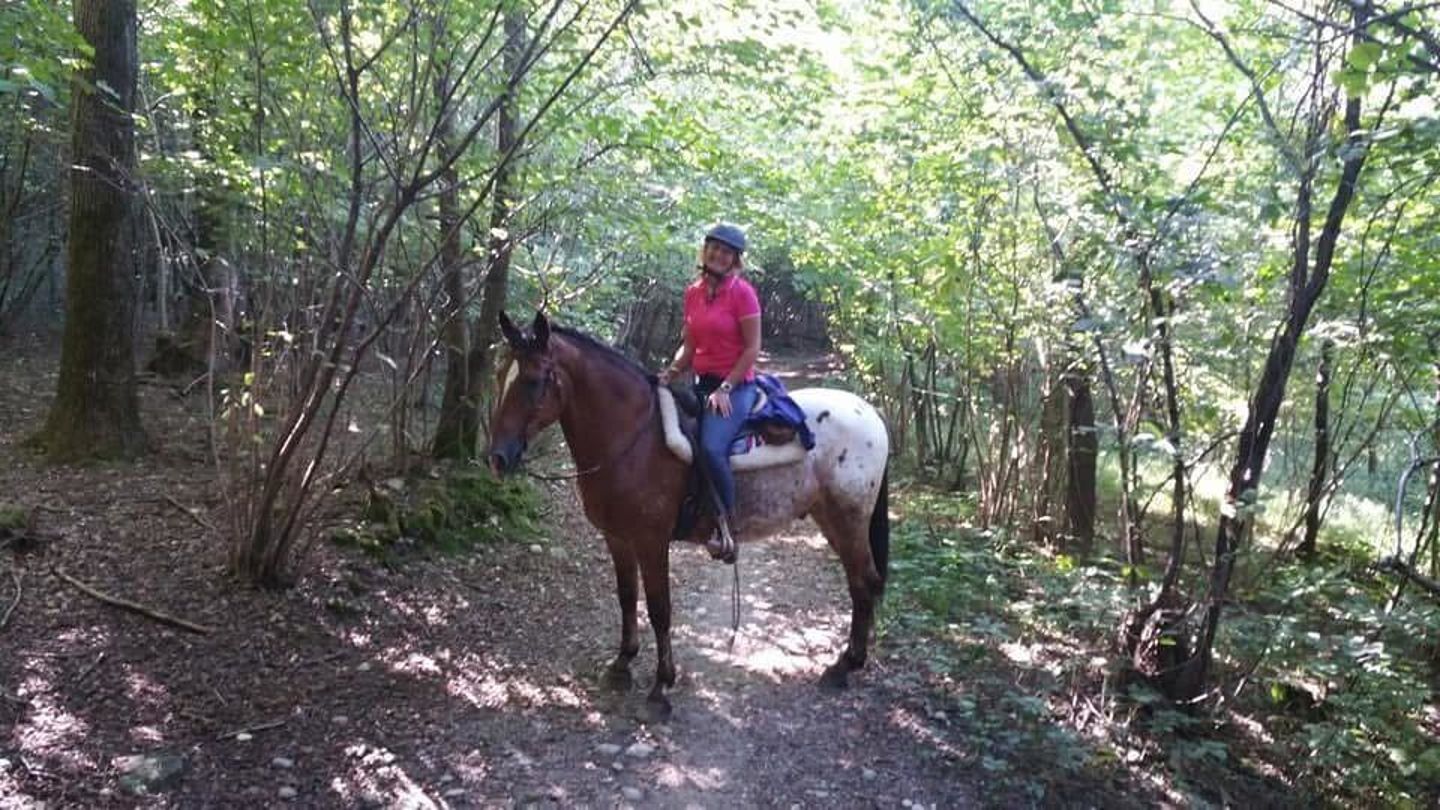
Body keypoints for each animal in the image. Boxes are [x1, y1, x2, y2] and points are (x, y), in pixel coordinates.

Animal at [487, 311, 890, 716]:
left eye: (532, 381)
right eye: (499, 374)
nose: (497, 458)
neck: (633, 438)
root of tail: (870, 413)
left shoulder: (651, 541)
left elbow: (659, 609)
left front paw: (660, 687)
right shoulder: (617, 537)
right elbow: (626, 597)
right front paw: (621, 664)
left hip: (849, 519)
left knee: (864, 581)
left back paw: (844, 666)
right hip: (830, 519)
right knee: (860, 583)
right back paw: (847, 662)